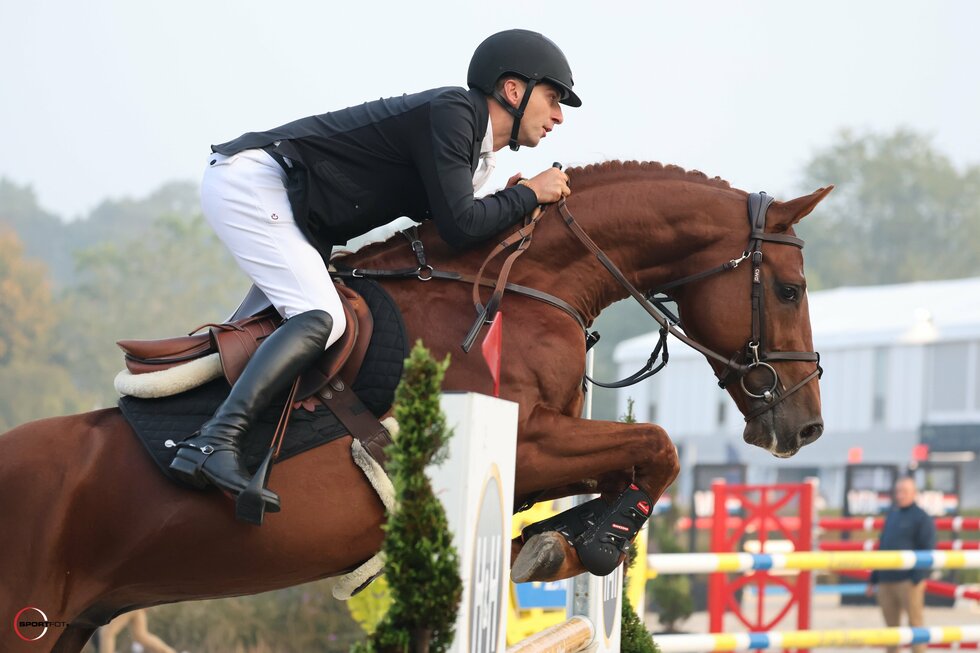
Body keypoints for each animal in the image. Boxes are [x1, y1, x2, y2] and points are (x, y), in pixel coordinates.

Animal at [0, 161, 830, 652]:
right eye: (791, 290)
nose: (805, 424)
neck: (524, 290)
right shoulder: (524, 441)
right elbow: (657, 443)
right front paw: (587, 542)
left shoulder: (544, 449)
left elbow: (634, 463)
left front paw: (558, 540)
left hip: (65, 625)